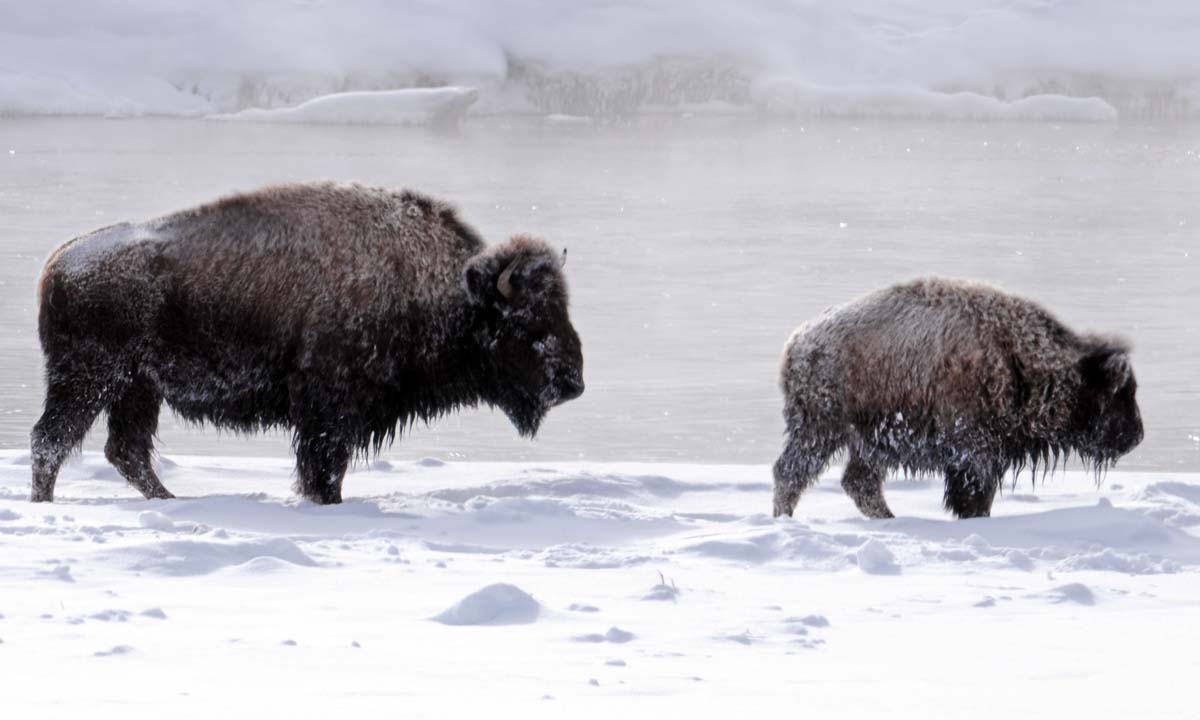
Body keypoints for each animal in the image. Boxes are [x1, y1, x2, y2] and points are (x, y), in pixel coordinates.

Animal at [32, 182, 585, 504]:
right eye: (528, 324)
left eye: (562, 310)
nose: (572, 383)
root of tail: (58, 261)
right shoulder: (328, 409)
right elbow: (323, 469)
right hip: (90, 381)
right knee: (50, 441)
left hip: (136, 390)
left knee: (124, 450)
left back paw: (168, 500)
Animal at [777, 278, 1142, 520]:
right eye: (1118, 393)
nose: (1136, 435)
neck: (1020, 360)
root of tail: (799, 341)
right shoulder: (975, 456)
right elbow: (974, 498)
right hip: (821, 431)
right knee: (791, 473)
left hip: (868, 443)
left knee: (857, 482)